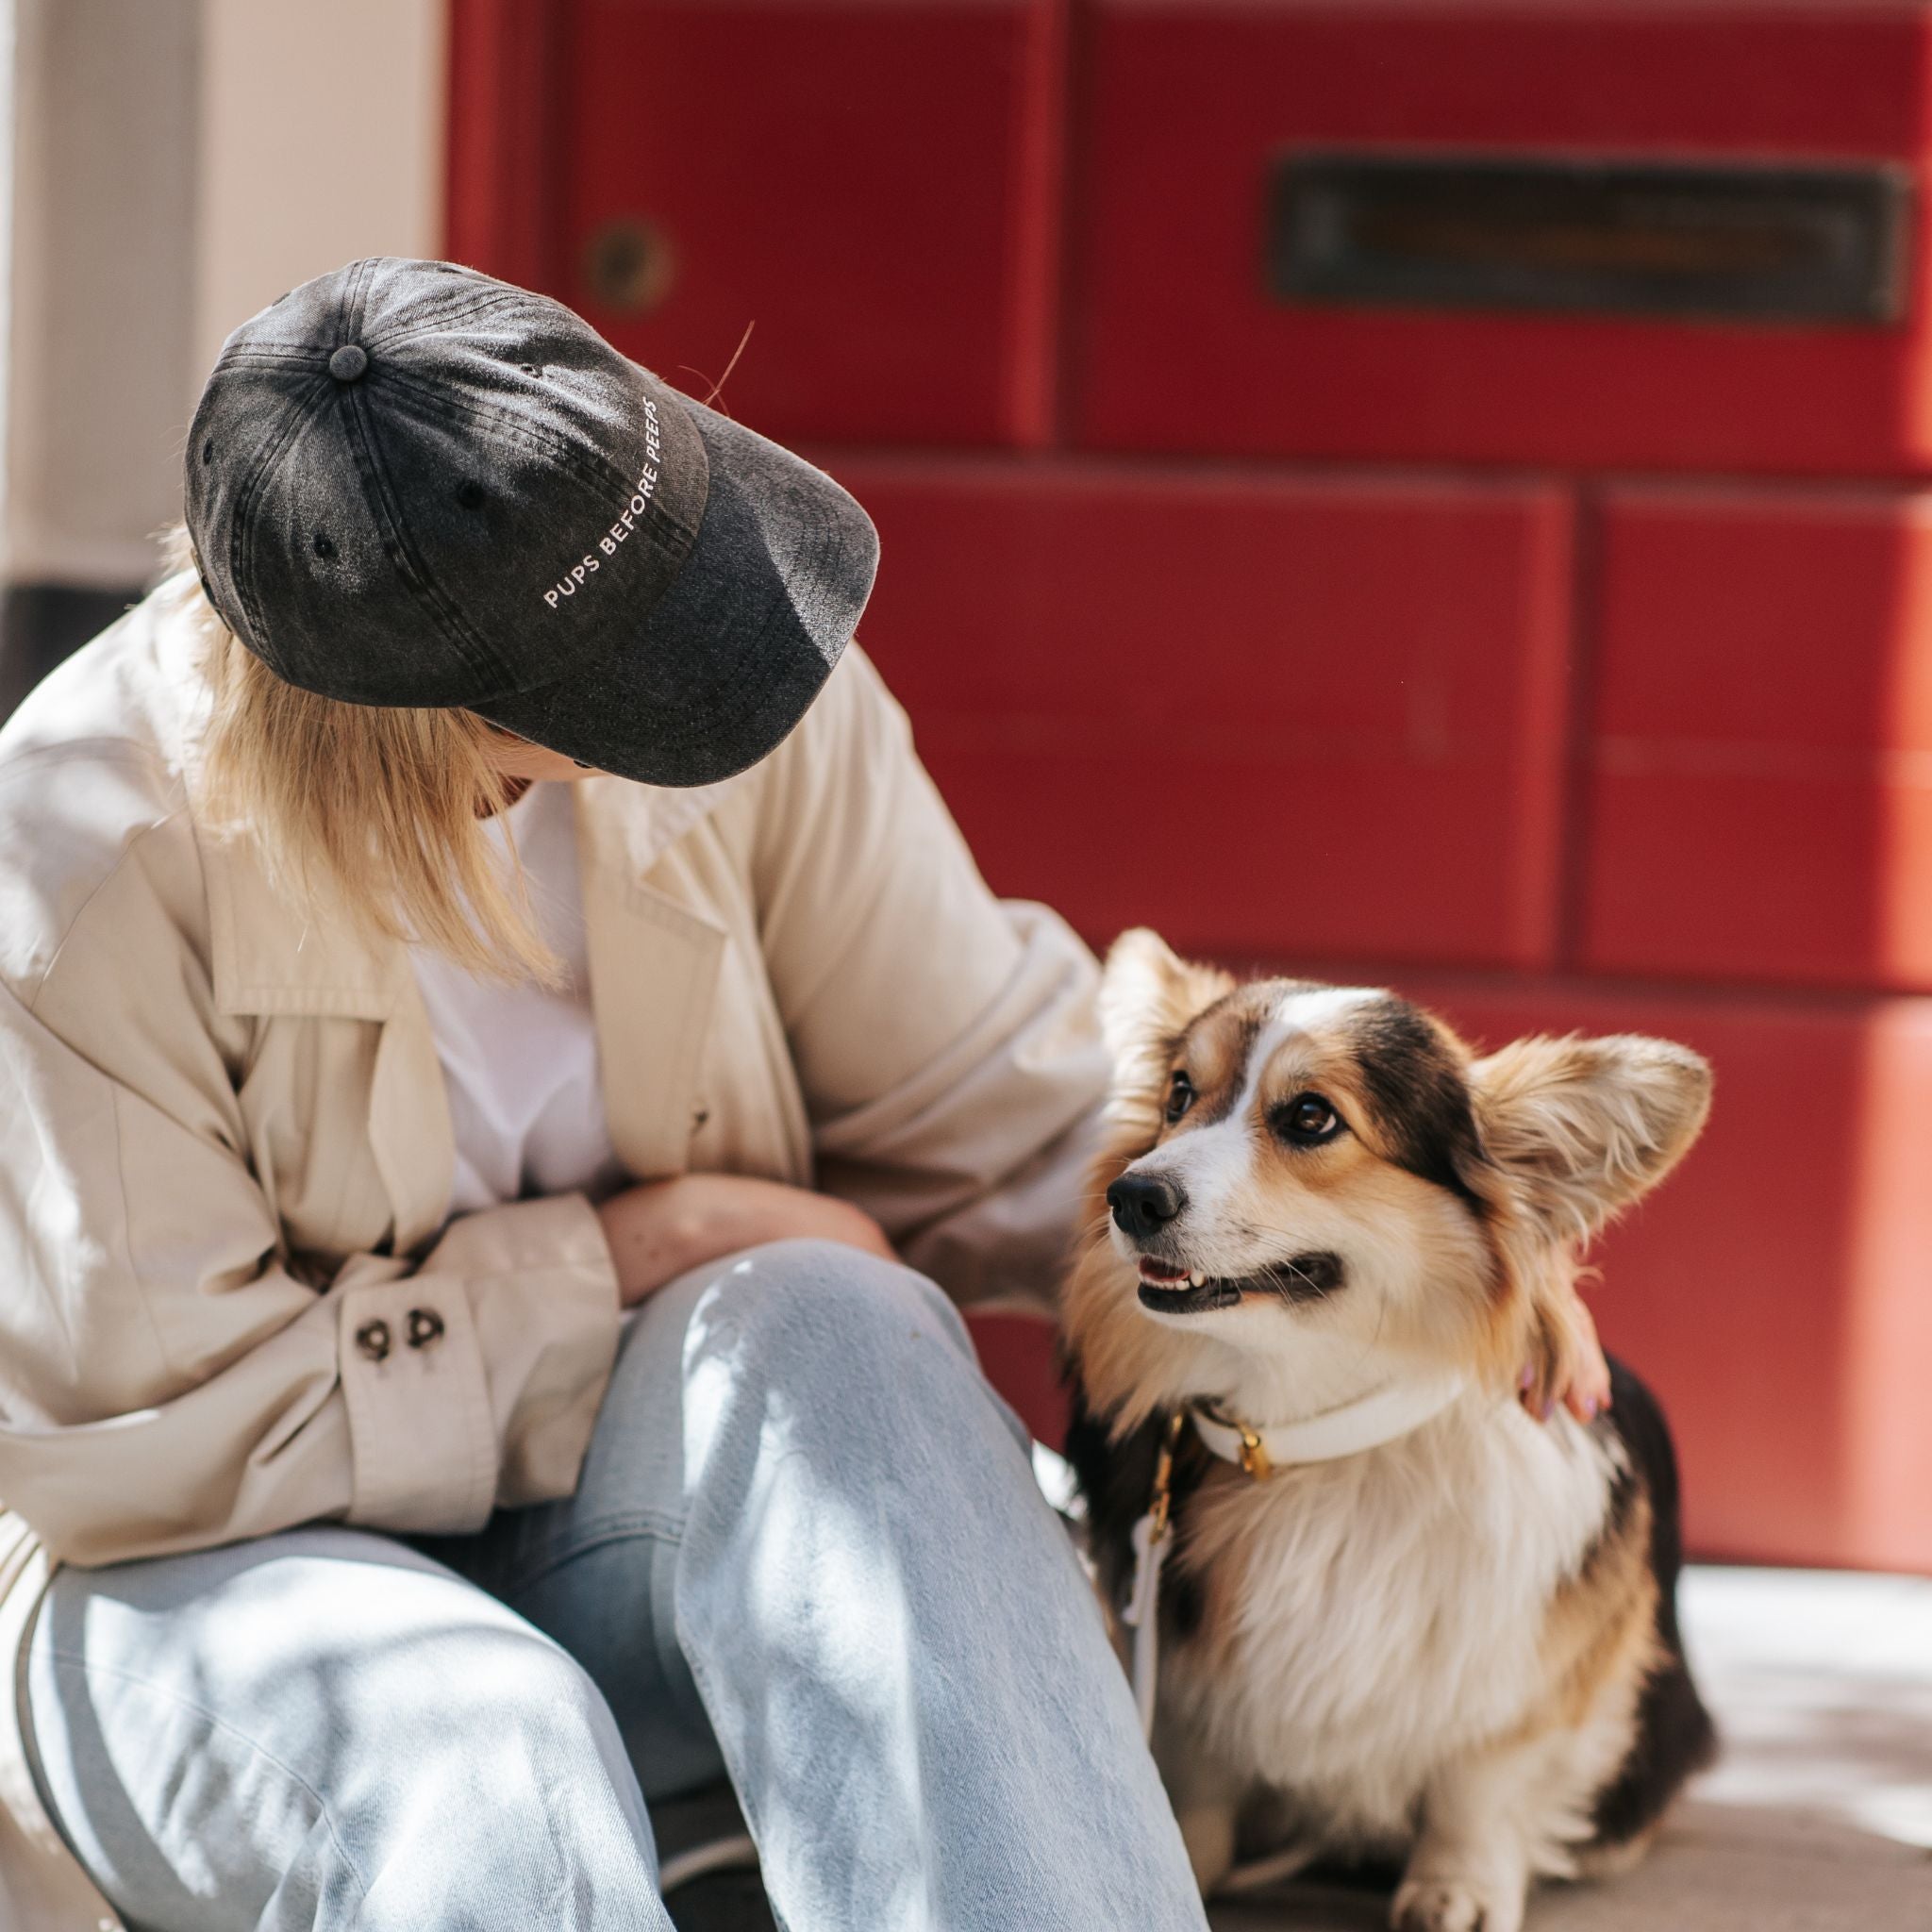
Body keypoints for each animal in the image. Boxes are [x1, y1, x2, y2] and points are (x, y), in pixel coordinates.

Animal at [1066, 935, 1715, 1932]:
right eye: (1178, 1094)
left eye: (1310, 1116)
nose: (1128, 1195)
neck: (1311, 1436)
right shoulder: (1188, 1682)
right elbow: (1203, 1781)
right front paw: (1187, 1860)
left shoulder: (1536, 1675)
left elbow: (1480, 1785)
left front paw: (1458, 1889)